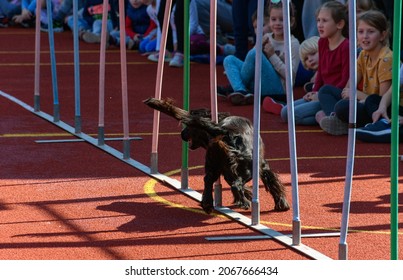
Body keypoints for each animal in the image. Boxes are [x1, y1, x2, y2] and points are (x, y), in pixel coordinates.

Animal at [145, 97, 290, 213]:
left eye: (188, 126)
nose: (182, 134)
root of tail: (223, 130)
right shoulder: (262, 165)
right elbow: (273, 182)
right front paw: (282, 204)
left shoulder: (227, 169)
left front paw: (247, 193)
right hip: (249, 168)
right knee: (235, 184)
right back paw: (244, 203)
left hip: (213, 163)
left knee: (208, 180)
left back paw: (208, 204)